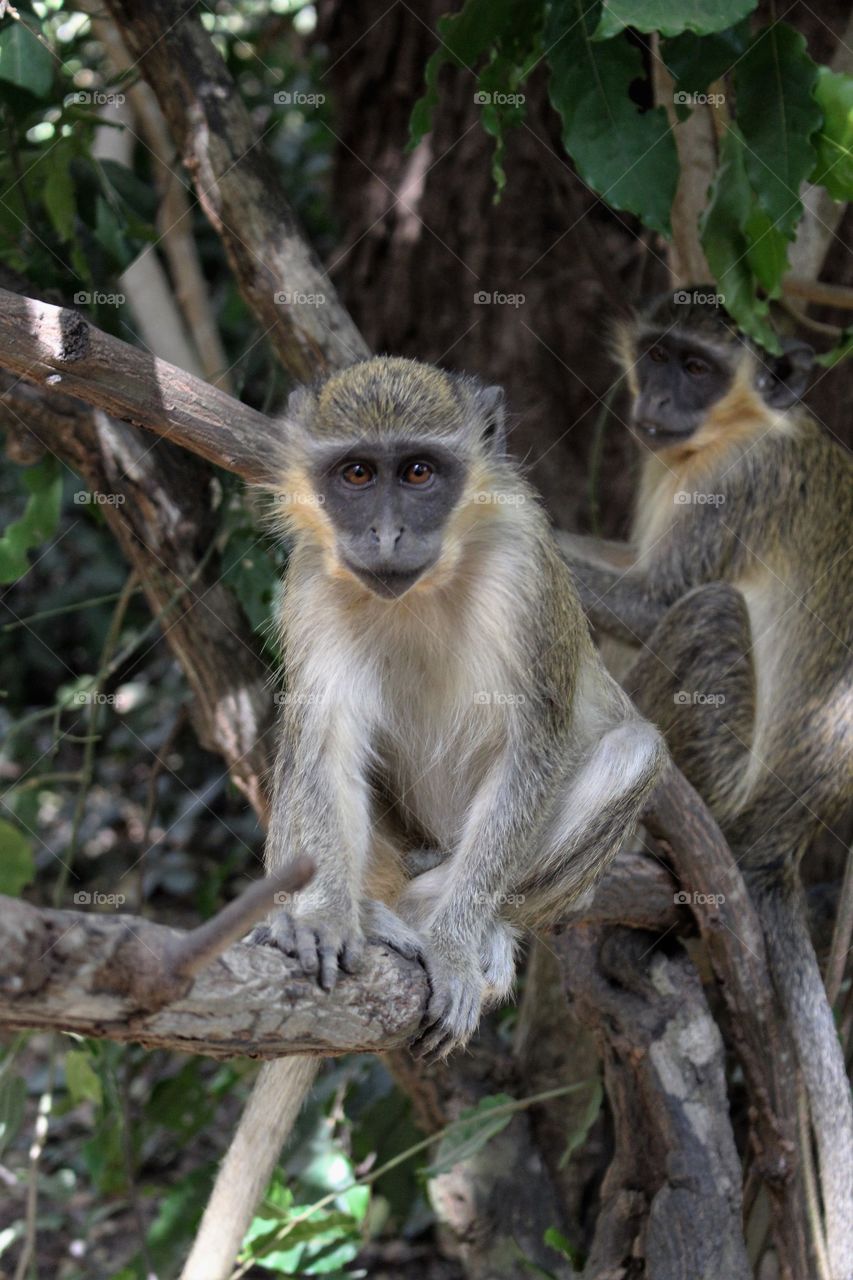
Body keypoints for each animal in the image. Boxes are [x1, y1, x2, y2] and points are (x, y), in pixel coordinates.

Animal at [180, 353, 666, 1280]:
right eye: (356, 475)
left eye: (417, 472)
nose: (384, 536)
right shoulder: (309, 580)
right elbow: (323, 742)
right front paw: (322, 916)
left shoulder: (526, 568)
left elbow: (534, 745)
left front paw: (450, 946)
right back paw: (358, 915)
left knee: (635, 750)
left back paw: (457, 931)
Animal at [558, 290, 850, 1280]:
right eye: (656, 355)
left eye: (697, 367)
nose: (657, 401)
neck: (731, 430)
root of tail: (775, 839)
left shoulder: (744, 482)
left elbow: (653, 600)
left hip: (714, 776)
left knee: (708, 610)